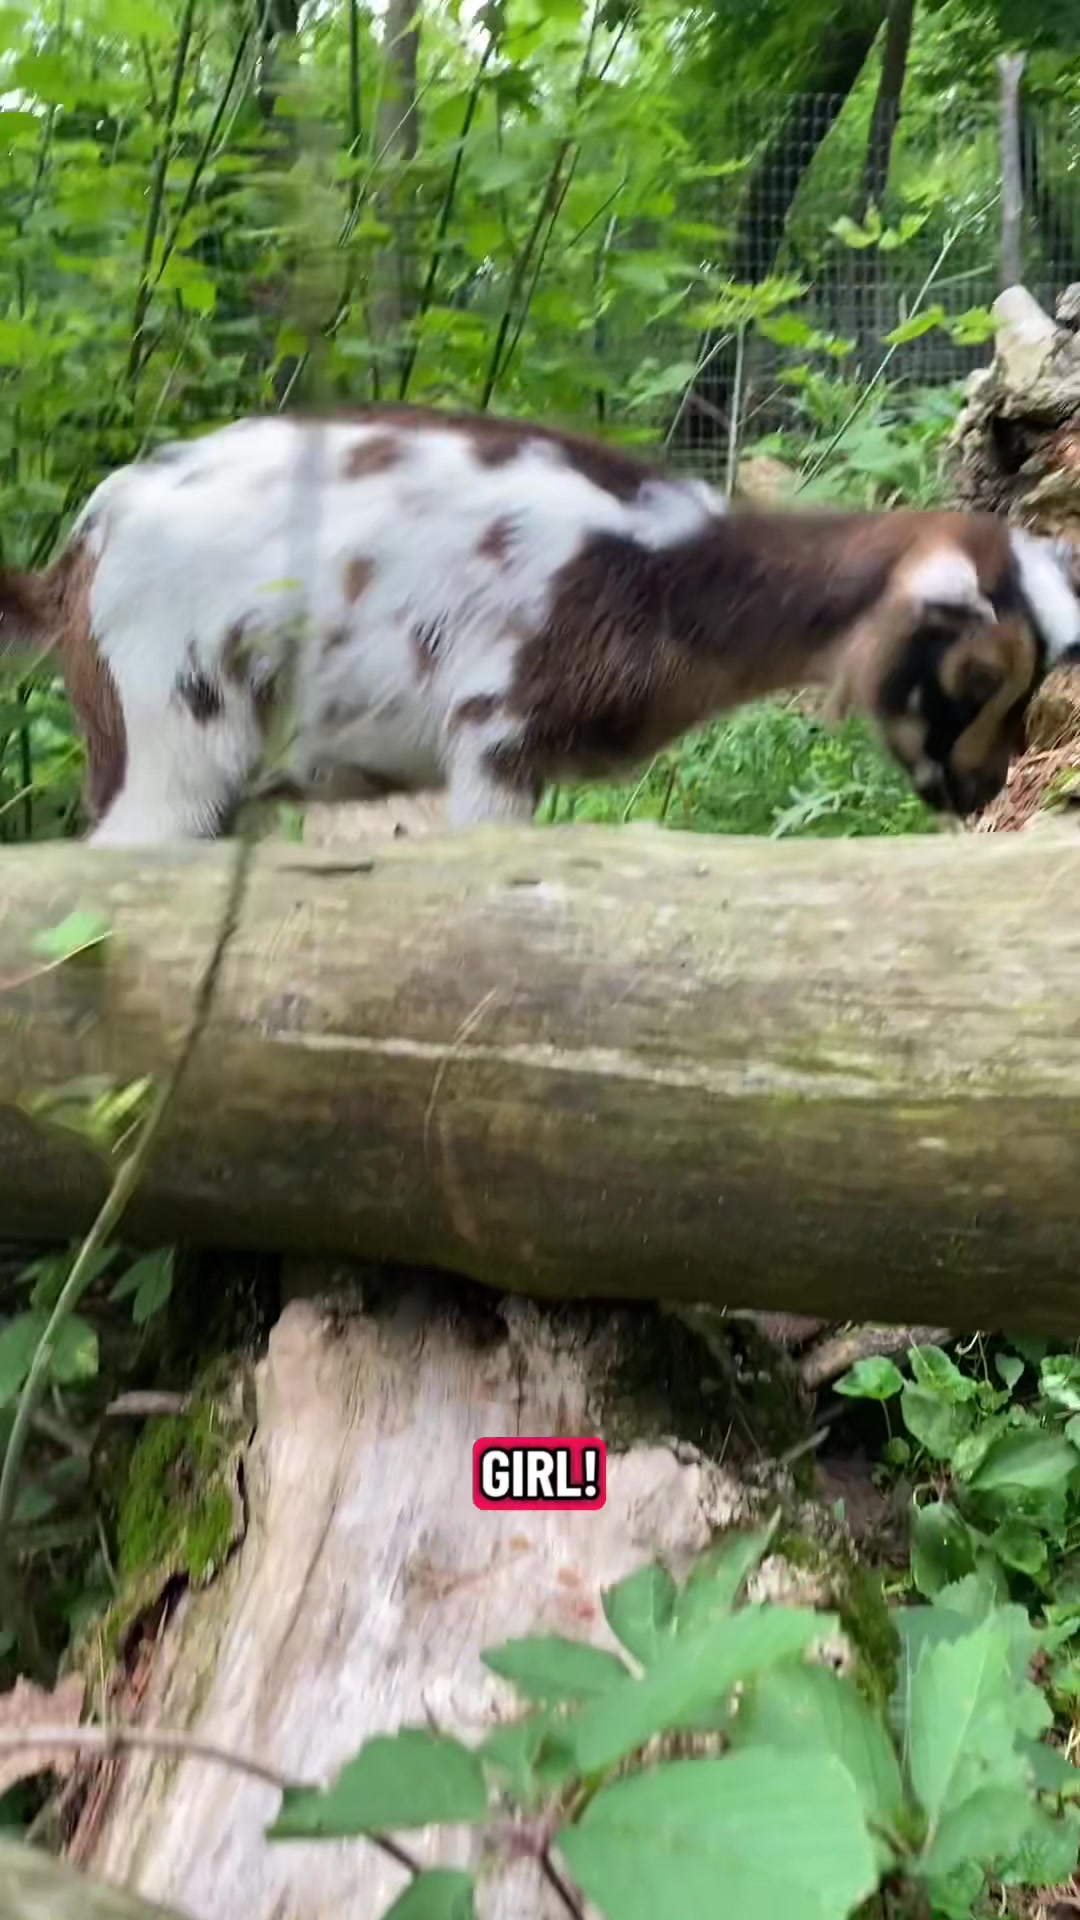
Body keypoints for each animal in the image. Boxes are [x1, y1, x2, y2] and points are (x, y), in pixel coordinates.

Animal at [1, 403, 1078, 845]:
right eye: (976, 674)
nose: (983, 788)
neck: (672, 578)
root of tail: (77, 557)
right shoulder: (495, 733)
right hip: (171, 727)